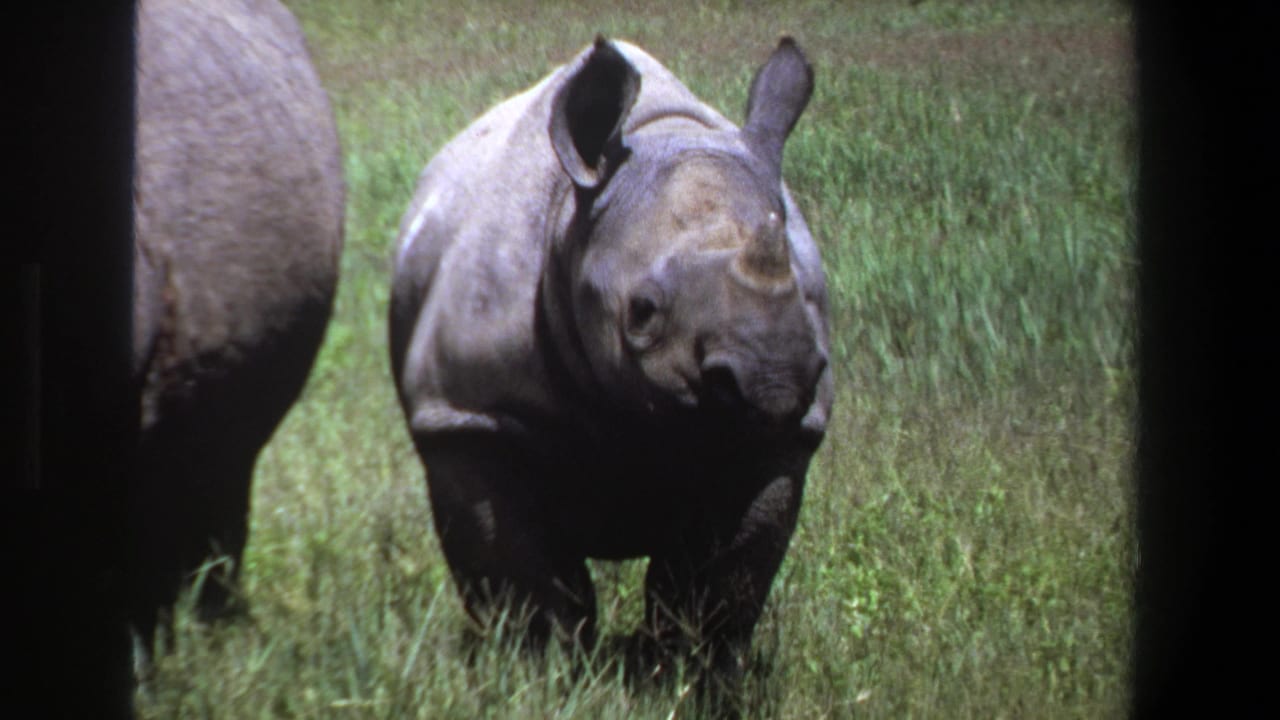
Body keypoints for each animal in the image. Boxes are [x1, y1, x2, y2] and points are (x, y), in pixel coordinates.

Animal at [389, 36, 832, 682]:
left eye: (804, 292)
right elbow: (523, 577)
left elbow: (719, 584)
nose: (772, 380)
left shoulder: (776, 436)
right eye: (642, 311)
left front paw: (690, 679)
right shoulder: (470, 414)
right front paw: (542, 675)